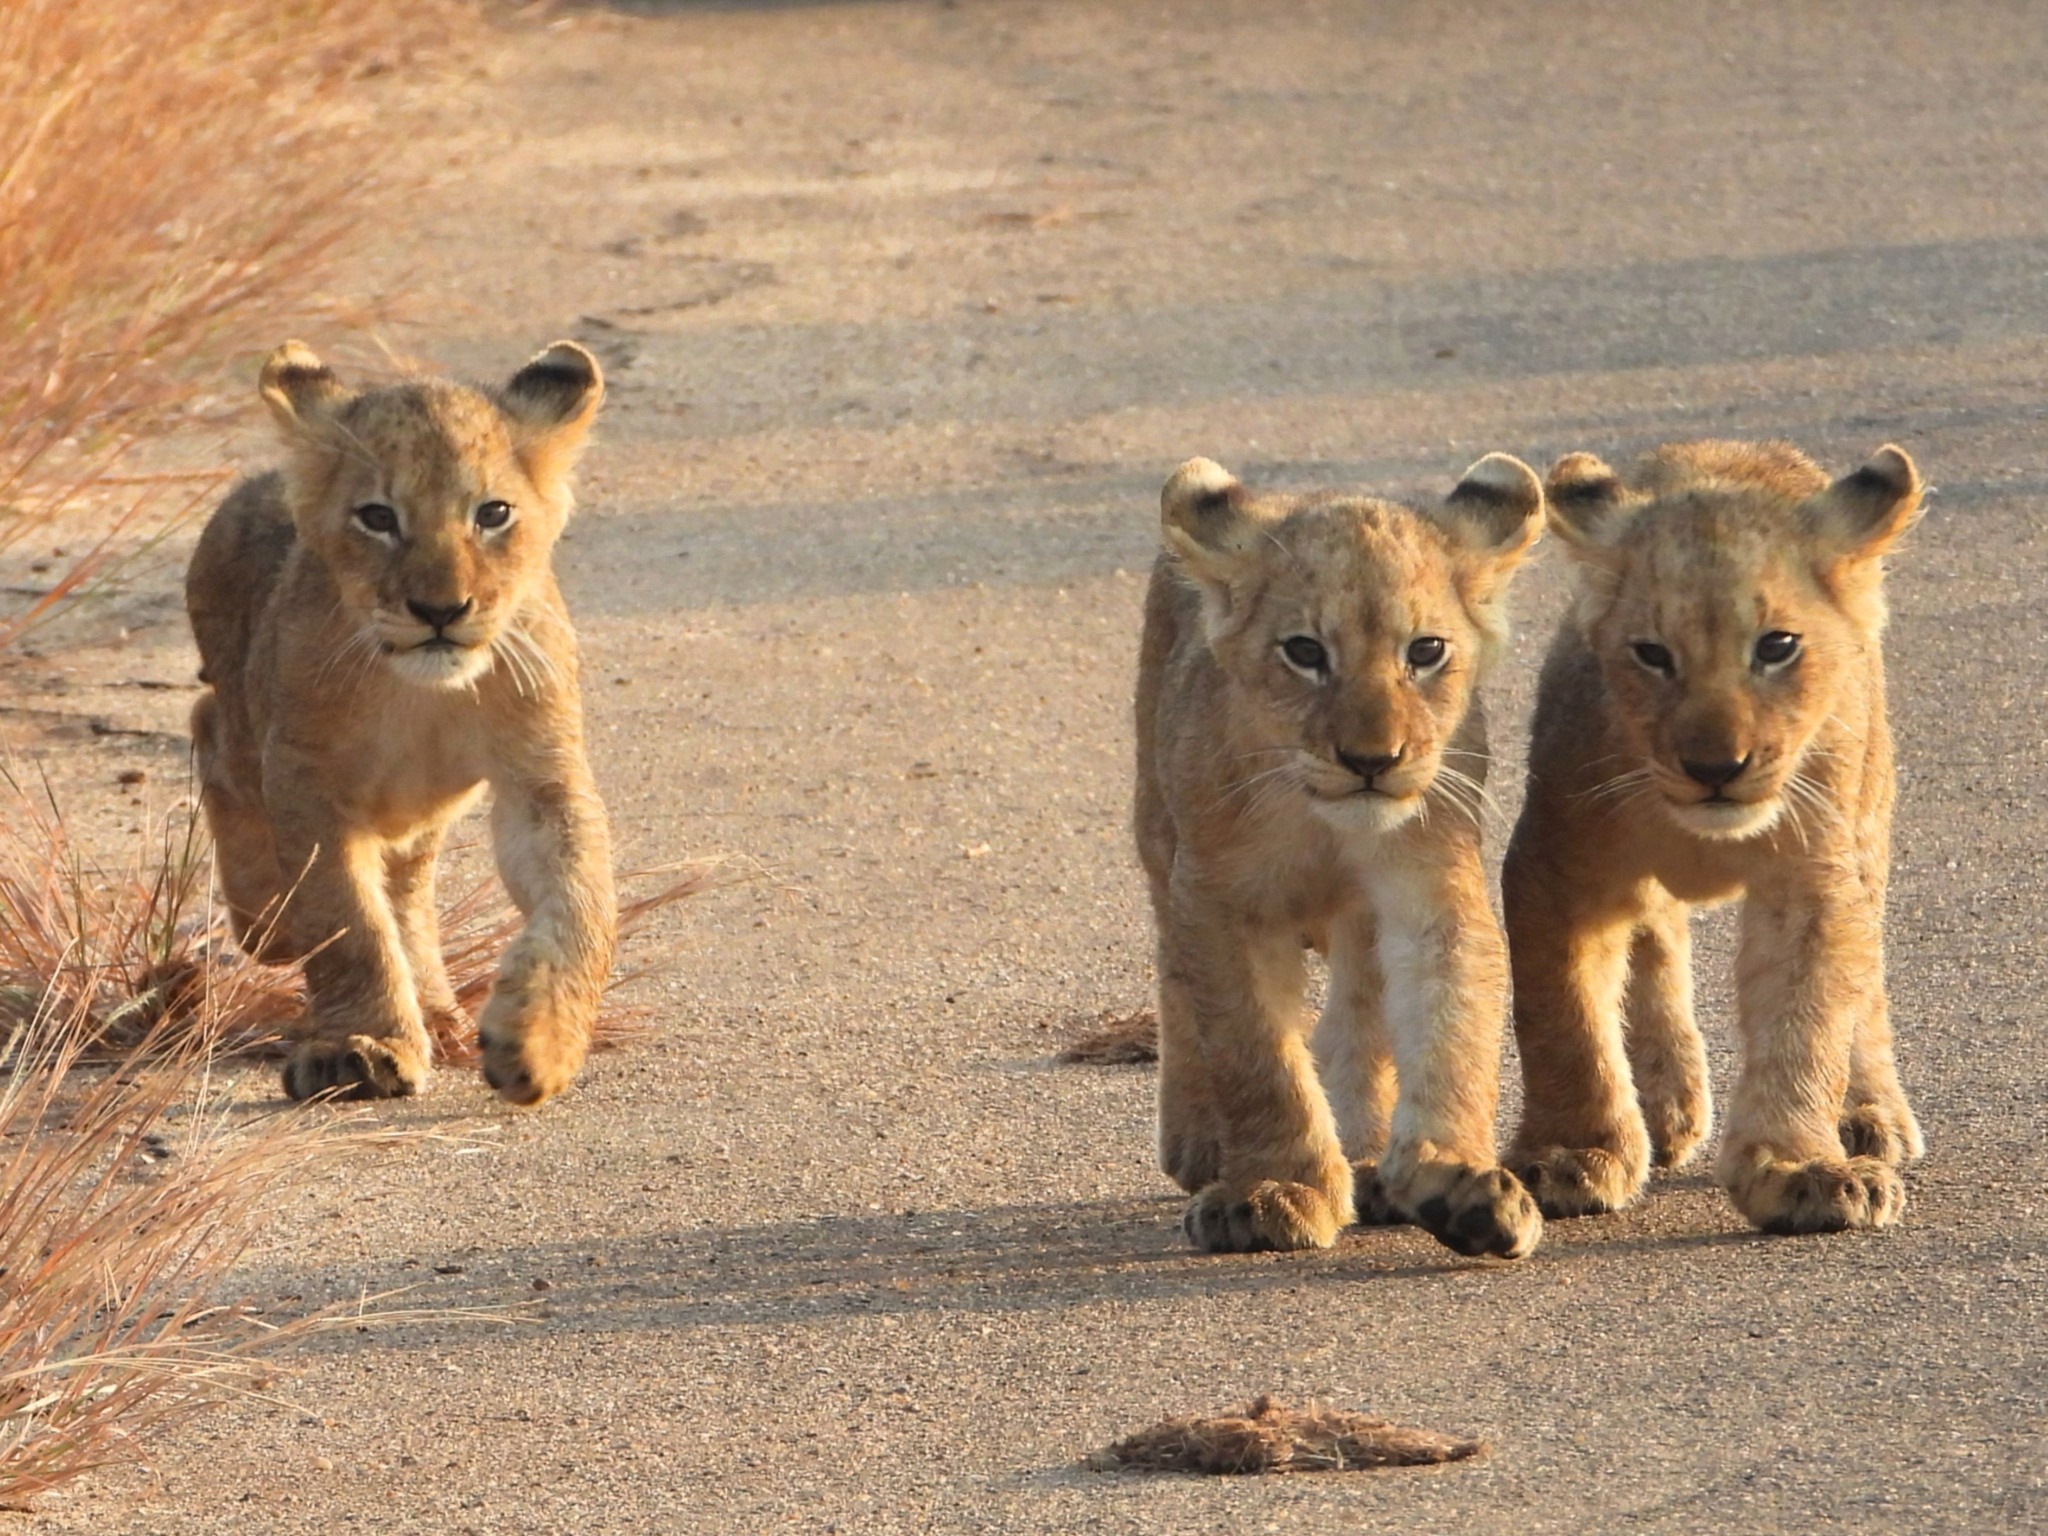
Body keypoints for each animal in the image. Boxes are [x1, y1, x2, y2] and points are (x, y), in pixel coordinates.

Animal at [185, 340, 618, 1106]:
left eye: (493, 513)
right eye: (377, 517)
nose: (440, 610)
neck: (419, 694)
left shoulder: (540, 773)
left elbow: (578, 901)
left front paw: (539, 1043)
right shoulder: (306, 779)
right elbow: (347, 920)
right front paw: (362, 1048)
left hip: (418, 816)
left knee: (409, 892)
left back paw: (441, 1014)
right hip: (243, 727)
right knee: (211, 730)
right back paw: (272, 920)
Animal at [1134, 454, 1548, 1259]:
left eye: (1426, 651)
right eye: (1304, 652)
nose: (1372, 760)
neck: (1322, 821)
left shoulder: (1432, 885)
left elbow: (1451, 1024)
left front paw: (1457, 1179)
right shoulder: (1220, 899)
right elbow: (1257, 1053)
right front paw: (1276, 1191)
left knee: (1358, 1017)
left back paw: (1366, 1163)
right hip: (1157, 830)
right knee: (1173, 971)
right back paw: (1200, 1142)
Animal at [1504, 439, 1925, 1234]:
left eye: (1777, 646)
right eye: (1651, 654)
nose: (1714, 769)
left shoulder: (1812, 879)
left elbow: (1806, 1017)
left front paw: (1797, 1168)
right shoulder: (1556, 868)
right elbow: (1563, 1020)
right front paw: (1573, 1155)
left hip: (1869, 822)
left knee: (1866, 986)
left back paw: (1869, 1116)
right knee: (1656, 938)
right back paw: (1666, 1102)